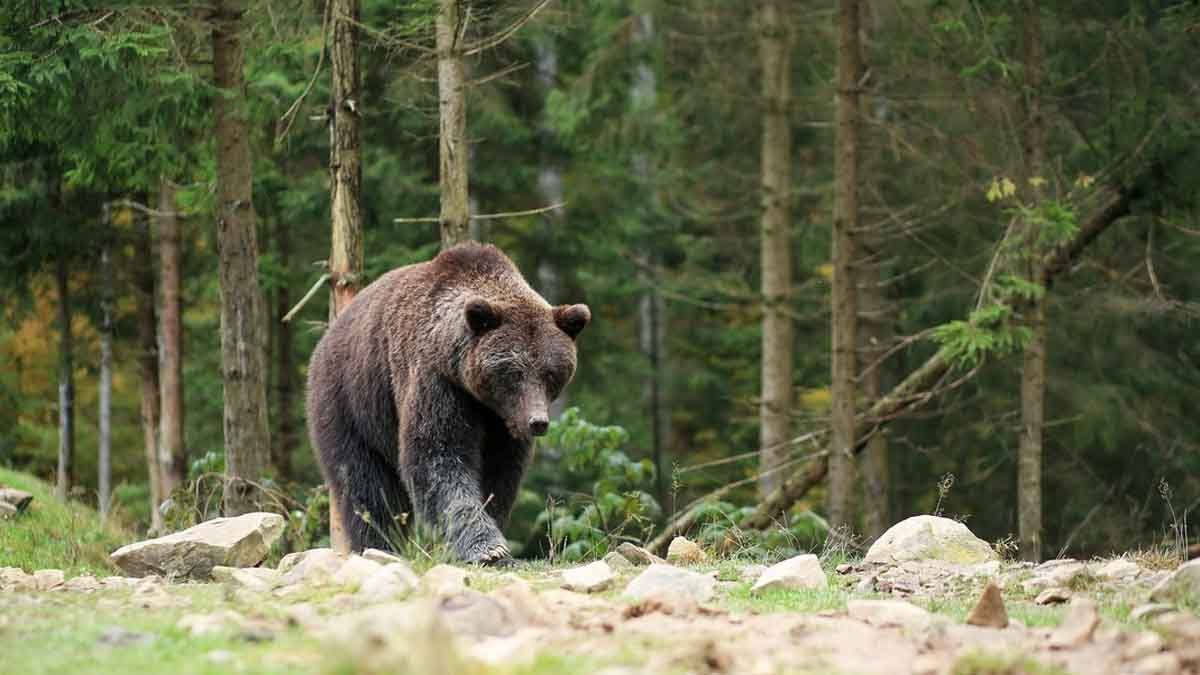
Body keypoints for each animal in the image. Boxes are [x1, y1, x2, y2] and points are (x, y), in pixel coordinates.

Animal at [305, 242, 590, 565]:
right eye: (514, 372)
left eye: (551, 373)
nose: (537, 422)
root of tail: (329, 333)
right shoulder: (437, 382)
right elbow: (438, 455)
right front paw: (489, 547)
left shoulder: (501, 423)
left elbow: (499, 474)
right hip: (351, 401)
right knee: (365, 483)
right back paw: (378, 544)